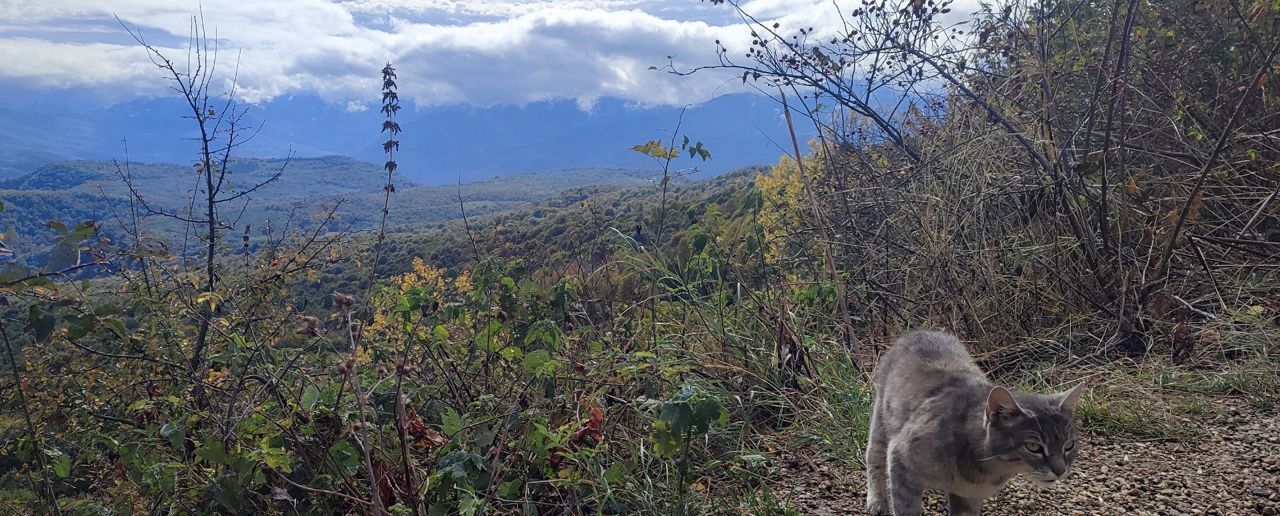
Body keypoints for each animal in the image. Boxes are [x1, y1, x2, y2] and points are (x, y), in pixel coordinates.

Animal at [865, 330, 1085, 516]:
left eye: (1069, 445)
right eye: (1033, 446)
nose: (1060, 470)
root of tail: (919, 331)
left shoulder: (968, 496)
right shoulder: (900, 458)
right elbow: (906, 506)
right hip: (881, 423)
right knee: (873, 458)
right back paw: (876, 500)